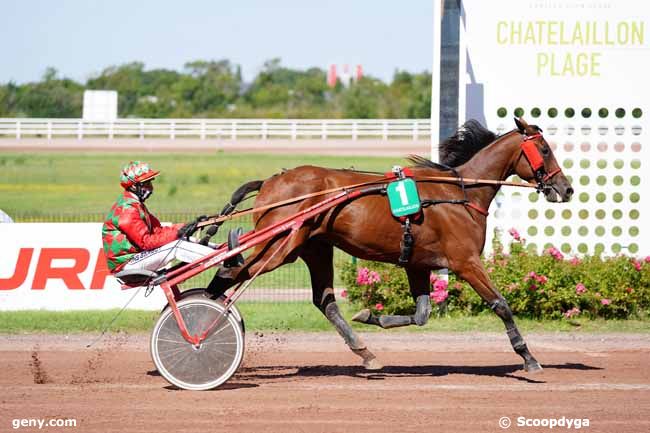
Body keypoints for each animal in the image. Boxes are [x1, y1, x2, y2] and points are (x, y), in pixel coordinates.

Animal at [205, 118, 568, 372]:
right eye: (545, 150)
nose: (566, 189)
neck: (460, 194)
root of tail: (270, 181)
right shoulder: (466, 262)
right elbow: (501, 304)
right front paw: (528, 357)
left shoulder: (418, 264)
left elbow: (421, 315)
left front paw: (369, 315)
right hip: (279, 246)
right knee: (229, 273)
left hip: (314, 248)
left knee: (325, 301)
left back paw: (365, 352)